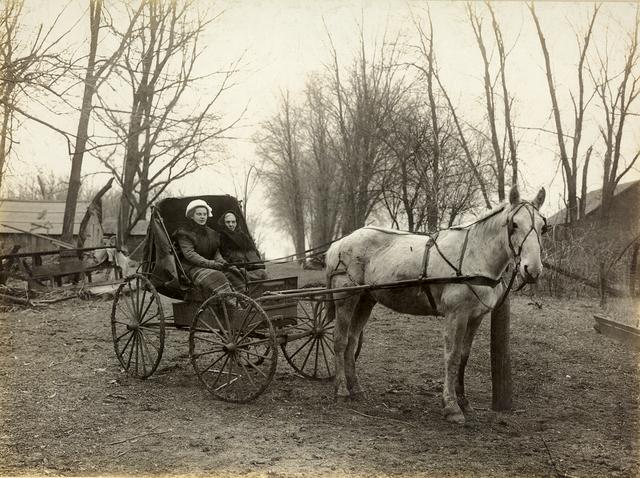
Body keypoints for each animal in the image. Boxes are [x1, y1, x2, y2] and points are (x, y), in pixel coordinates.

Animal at [328, 187, 548, 426]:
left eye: (542, 227)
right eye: (514, 224)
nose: (532, 270)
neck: (473, 254)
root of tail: (340, 243)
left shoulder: (475, 317)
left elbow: (463, 357)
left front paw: (463, 402)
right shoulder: (456, 315)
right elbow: (452, 357)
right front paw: (451, 407)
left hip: (365, 300)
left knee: (351, 342)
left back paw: (356, 389)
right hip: (346, 298)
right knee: (340, 341)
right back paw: (341, 391)